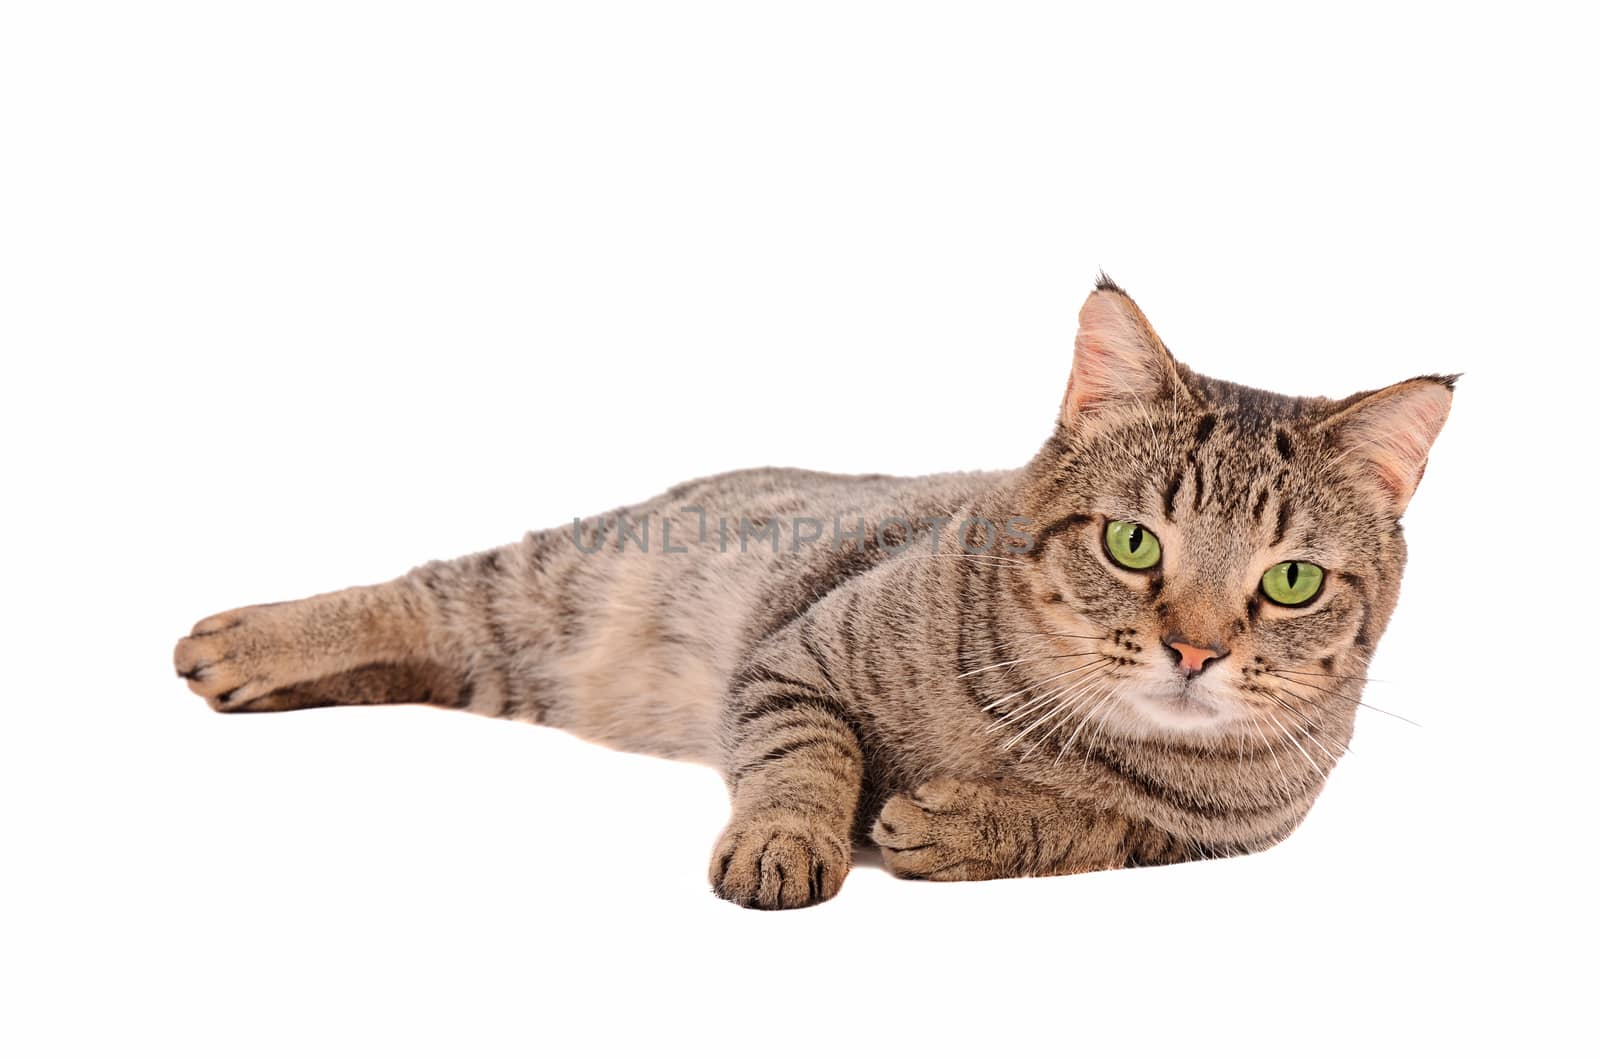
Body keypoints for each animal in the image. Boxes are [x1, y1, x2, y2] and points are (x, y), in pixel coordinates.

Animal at [172, 280, 1452, 915]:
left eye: (1289, 581)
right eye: (1135, 544)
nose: (1193, 649)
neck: (1054, 727)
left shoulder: (1210, 840)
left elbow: (1090, 830)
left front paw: (968, 822)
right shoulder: (792, 660)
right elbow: (804, 762)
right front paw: (787, 841)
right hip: (549, 586)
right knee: (415, 596)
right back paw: (244, 642)